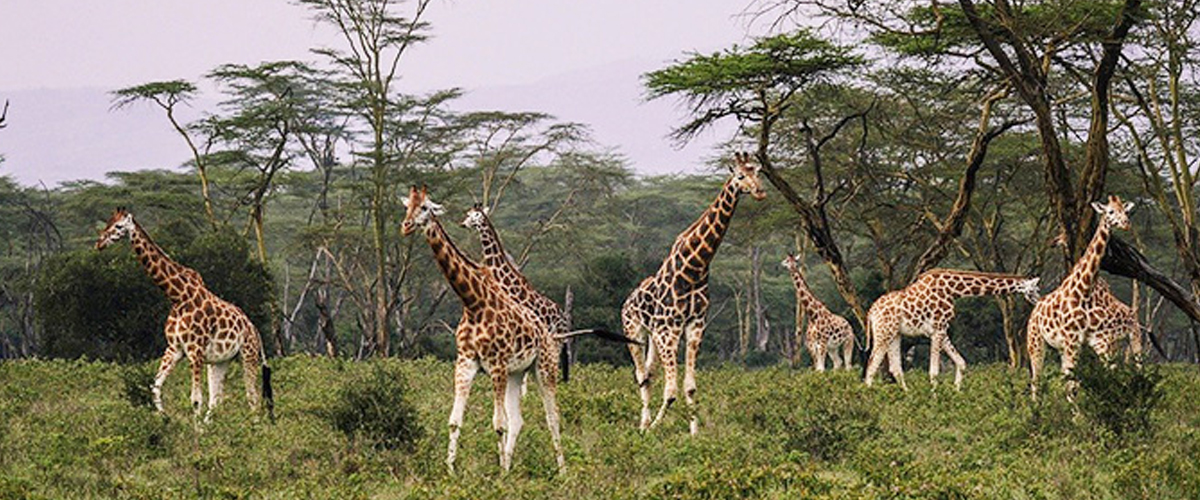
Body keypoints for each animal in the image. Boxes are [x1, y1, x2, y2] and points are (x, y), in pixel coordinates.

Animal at [94, 208, 273, 419]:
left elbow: (196, 399)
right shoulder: (174, 348)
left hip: (248, 354)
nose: (99, 243)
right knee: (217, 400)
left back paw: (254, 426)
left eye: (118, 226)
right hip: (221, 361)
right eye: (108, 222)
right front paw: (164, 419)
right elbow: (155, 388)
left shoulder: (195, 350)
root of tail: (254, 329)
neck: (177, 297)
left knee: (252, 397)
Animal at [398, 185, 556, 472]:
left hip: (545, 367)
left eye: (425, 207)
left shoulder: (496, 365)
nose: (406, 226)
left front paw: (500, 473)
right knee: (518, 420)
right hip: (517, 372)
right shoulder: (465, 363)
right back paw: (511, 465)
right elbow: (455, 421)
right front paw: (451, 471)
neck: (473, 303)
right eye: (407, 207)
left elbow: (498, 423)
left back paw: (562, 471)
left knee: (552, 419)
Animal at [624, 151, 763, 431]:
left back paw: (644, 423)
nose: (760, 191)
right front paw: (654, 429)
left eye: (758, 171)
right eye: (740, 176)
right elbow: (671, 391)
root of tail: (627, 301)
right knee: (641, 375)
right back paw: (643, 426)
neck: (695, 268)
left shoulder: (694, 325)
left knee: (648, 374)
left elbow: (689, 387)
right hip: (635, 331)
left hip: (653, 335)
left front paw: (694, 434)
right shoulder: (669, 329)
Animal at [864, 268, 1041, 388]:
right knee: (871, 366)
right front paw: (935, 400)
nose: (1039, 300)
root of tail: (871, 312)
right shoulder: (938, 328)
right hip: (883, 333)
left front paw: (956, 392)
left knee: (895, 369)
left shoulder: (940, 330)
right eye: (1036, 289)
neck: (954, 290)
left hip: (894, 334)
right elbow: (934, 371)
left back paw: (906, 396)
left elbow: (961, 362)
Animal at [1027, 194, 1137, 398]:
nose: (1126, 223)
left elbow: (1075, 382)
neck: (1084, 292)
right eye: (1110, 211)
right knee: (1036, 381)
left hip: (1061, 347)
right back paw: (1034, 406)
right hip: (1036, 342)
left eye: (1125, 211)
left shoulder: (1084, 341)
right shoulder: (1072, 340)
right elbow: (1073, 385)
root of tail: (1035, 309)